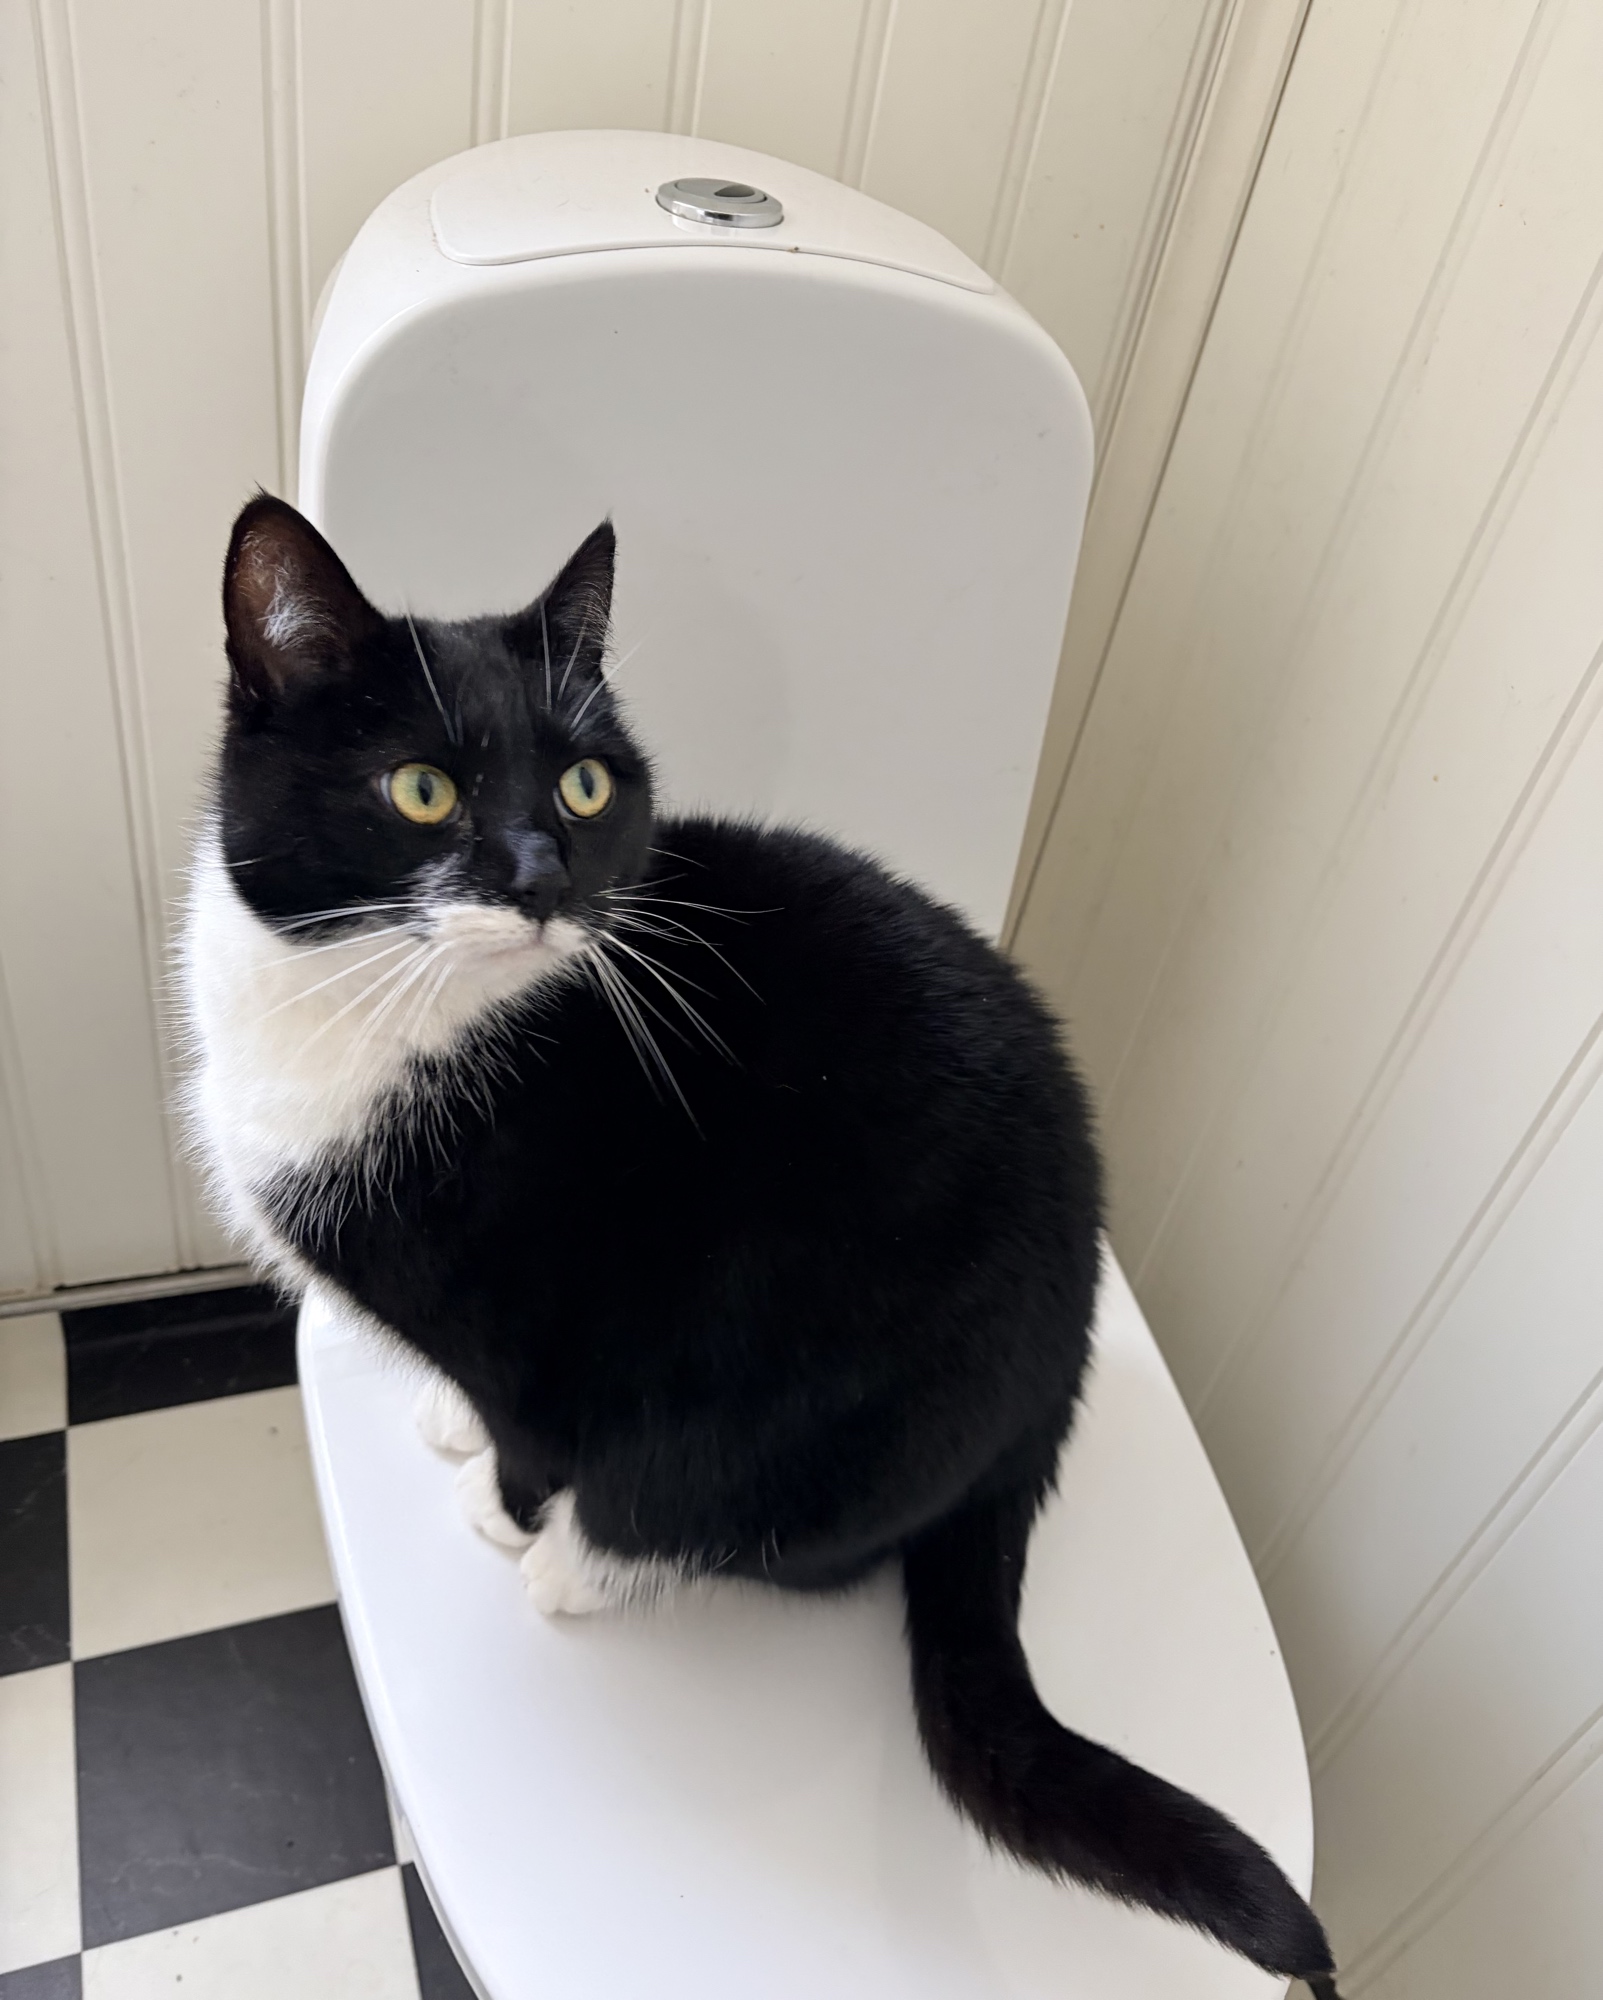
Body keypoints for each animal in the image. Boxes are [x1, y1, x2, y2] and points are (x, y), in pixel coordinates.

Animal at [180, 492, 1341, 1994]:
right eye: (420, 789)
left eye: (583, 788)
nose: (545, 878)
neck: (371, 1017)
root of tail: (1056, 1379)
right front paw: (443, 1421)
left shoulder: (546, 1319)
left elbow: (534, 1433)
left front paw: (502, 1512)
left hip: (829, 1402)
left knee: (740, 1515)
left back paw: (580, 1563)